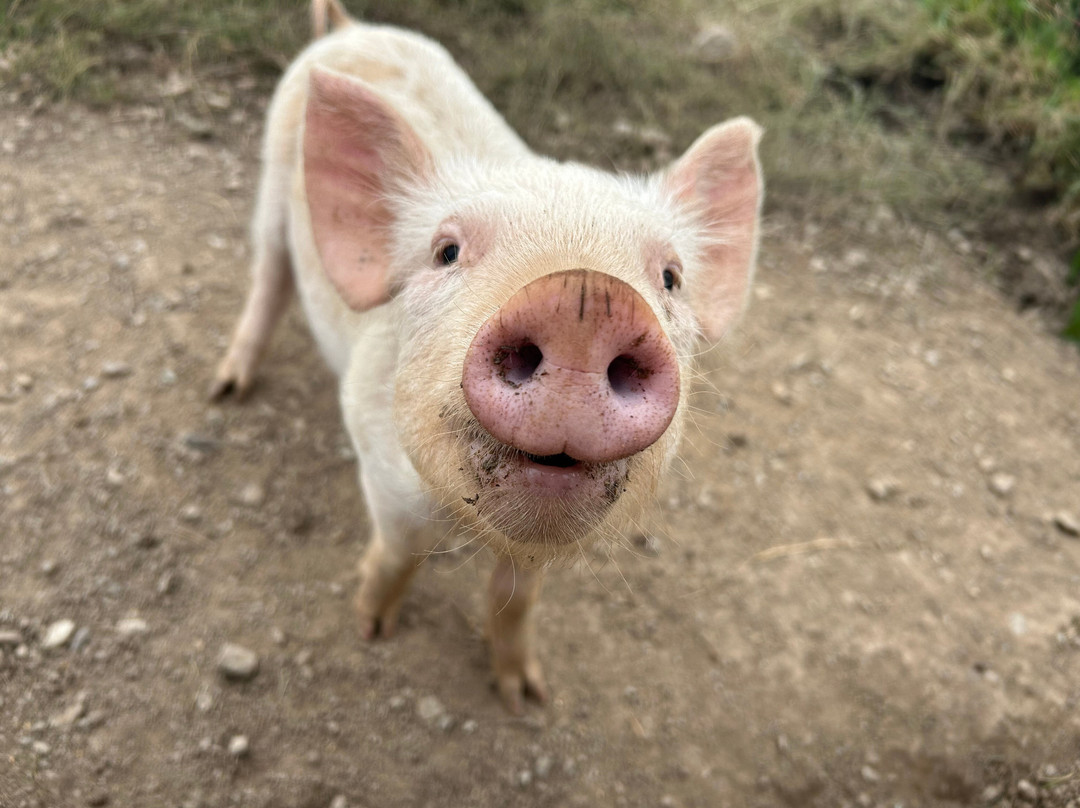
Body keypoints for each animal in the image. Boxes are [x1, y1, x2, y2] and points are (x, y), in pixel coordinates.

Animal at [214, 0, 764, 708]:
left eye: (670, 278)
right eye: (446, 251)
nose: (586, 298)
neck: (466, 526)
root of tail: (347, 29)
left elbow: (517, 596)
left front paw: (526, 694)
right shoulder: (379, 466)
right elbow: (397, 552)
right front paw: (370, 628)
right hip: (270, 189)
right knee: (269, 276)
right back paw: (226, 388)